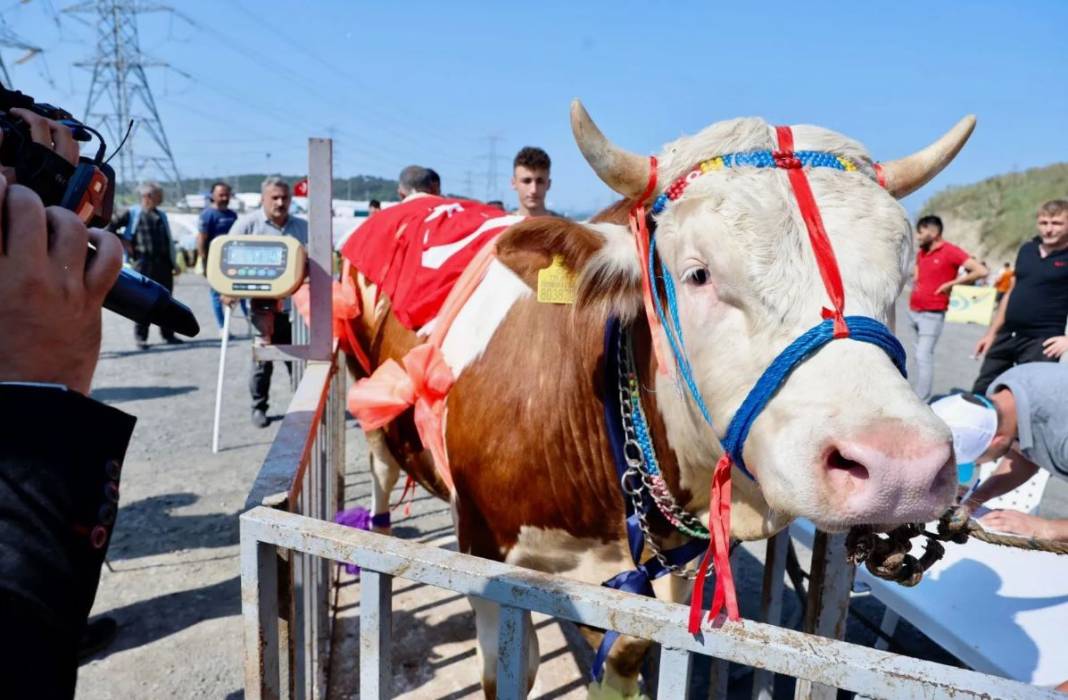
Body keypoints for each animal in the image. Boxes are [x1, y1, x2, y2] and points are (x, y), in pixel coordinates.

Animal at [337, 99, 974, 696]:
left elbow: (620, 660)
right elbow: (510, 668)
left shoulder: (650, 580)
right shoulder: (484, 561)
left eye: (903, 275)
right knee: (382, 470)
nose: (900, 467)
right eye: (698, 274)